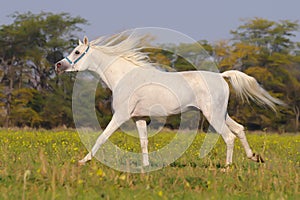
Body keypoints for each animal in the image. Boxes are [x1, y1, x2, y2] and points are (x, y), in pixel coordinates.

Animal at [55, 33, 284, 166]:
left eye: (76, 51)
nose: (58, 65)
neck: (124, 77)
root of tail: (221, 76)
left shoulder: (120, 116)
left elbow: (101, 138)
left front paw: (83, 160)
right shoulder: (139, 118)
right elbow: (144, 142)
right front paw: (146, 167)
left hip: (213, 115)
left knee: (229, 136)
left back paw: (227, 168)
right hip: (222, 114)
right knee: (239, 129)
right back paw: (254, 157)